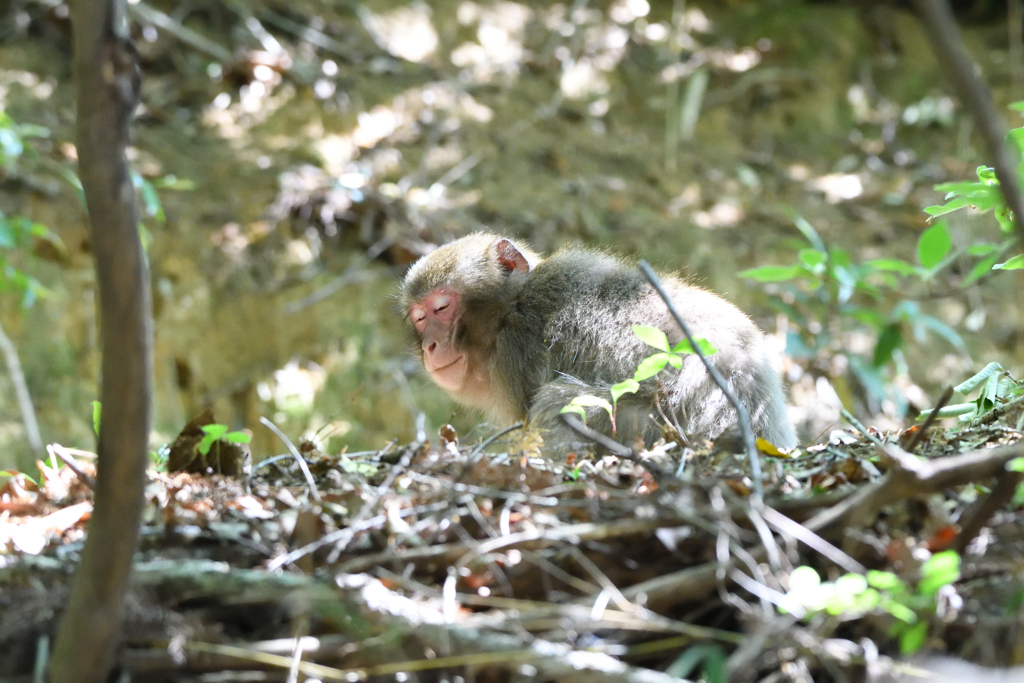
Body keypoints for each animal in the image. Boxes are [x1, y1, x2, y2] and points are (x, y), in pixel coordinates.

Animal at [399, 232, 798, 450]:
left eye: (442, 307)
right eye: (420, 318)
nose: (431, 345)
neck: (511, 309)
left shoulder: (518, 352)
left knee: (557, 405)